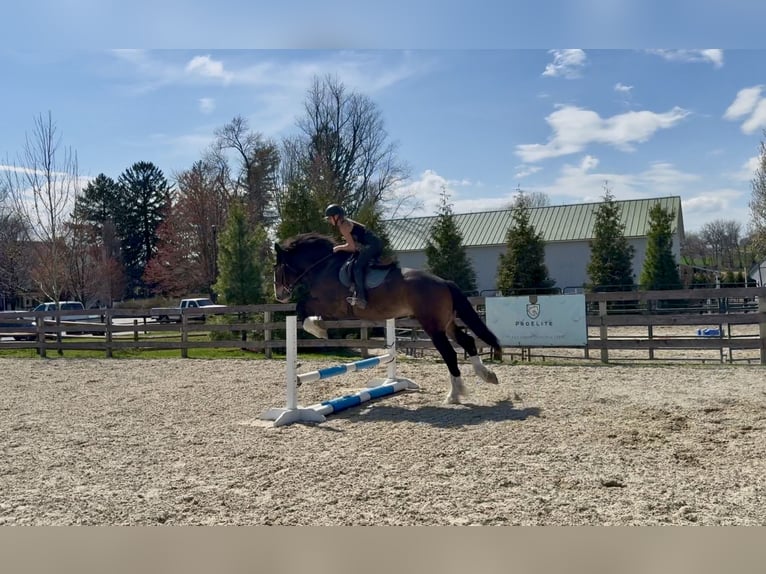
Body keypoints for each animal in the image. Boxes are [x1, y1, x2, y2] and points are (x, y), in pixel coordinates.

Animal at [273, 232, 502, 404]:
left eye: (277, 268)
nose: (279, 296)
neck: (324, 267)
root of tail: (444, 282)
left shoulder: (330, 305)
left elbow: (302, 308)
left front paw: (318, 329)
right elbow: (304, 309)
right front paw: (319, 327)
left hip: (432, 327)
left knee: (450, 354)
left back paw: (454, 395)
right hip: (446, 323)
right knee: (468, 341)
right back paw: (486, 375)